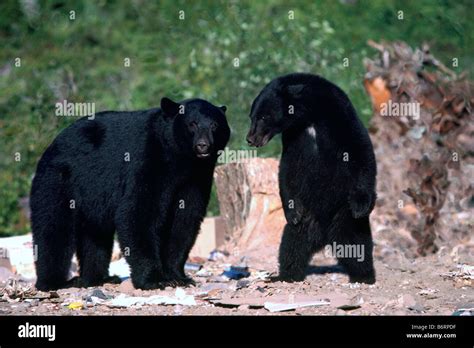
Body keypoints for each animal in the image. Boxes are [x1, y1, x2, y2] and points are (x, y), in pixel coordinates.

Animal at [30, 96, 231, 290]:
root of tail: (50, 147)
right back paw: (55, 283)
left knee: (96, 236)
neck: (180, 159)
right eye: (192, 124)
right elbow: (138, 212)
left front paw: (179, 277)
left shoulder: (196, 177)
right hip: (59, 182)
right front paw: (153, 280)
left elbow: (185, 220)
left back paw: (99, 279)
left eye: (214, 125)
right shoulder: (147, 159)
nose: (203, 146)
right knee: (54, 228)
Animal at [248, 72, 378, 282]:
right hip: (307, 219)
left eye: (264, 116)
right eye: (252, 116)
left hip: (343, 213)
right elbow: (288, 169)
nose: (250, 139)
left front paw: (361, 203)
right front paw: (292, 211)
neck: (309, 115)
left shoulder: (341, 116)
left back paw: (364, 276)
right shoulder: (293, 136)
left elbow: (360, 150)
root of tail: (324, 237)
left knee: (356, 242)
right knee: (292, 243)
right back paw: (286, 275)